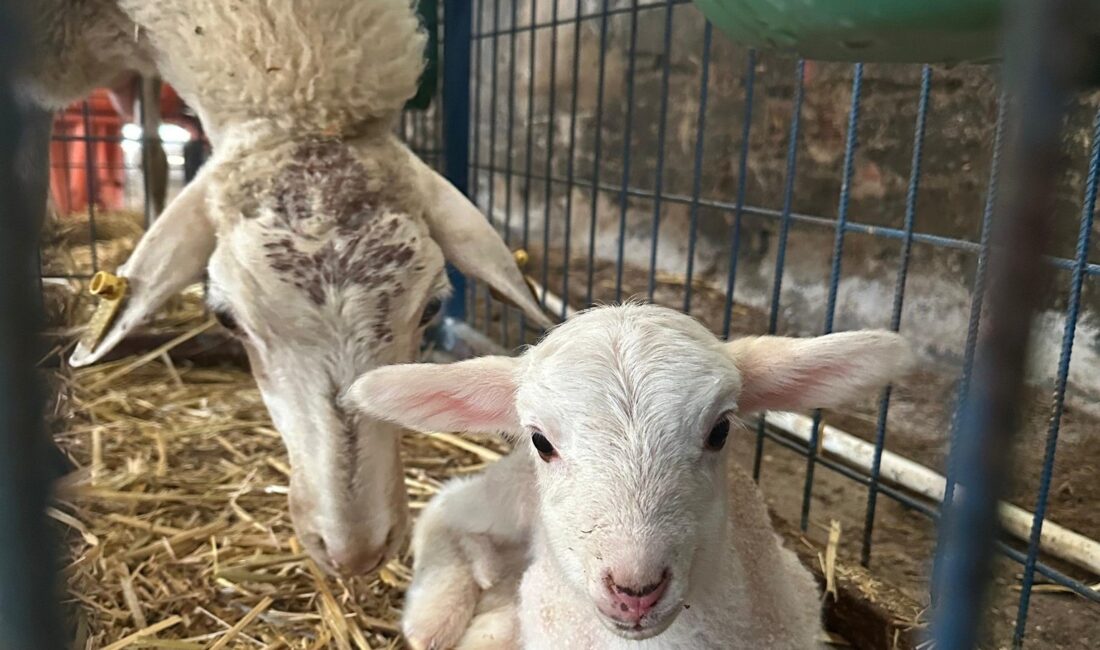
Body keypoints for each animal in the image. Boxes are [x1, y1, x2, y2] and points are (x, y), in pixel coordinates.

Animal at [347, 303, 915, 646]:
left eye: (720, 430)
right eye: (541, 441)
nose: (635, 588)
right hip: (508, 499)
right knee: (445, 508)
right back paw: (433, 615)